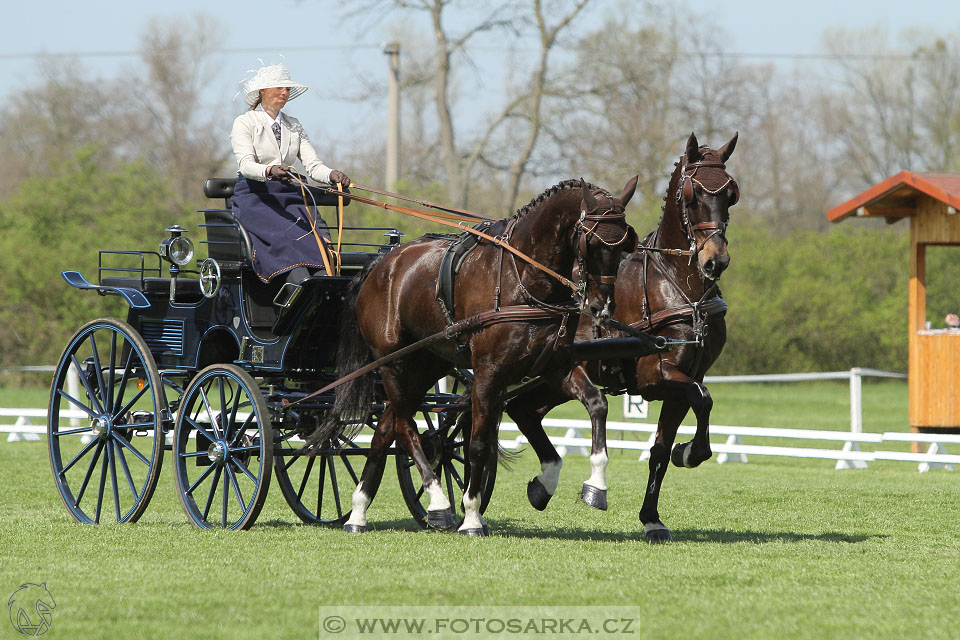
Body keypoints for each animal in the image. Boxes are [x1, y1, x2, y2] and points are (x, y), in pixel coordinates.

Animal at [314, 176, 636, 536]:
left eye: (624, 245)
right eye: (590, 242)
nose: (601, 307)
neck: (522, 278)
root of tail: (380, 265)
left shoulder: (556, 365)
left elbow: (596, 404)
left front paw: (587, 485)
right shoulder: (487, 372)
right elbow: (478, 444)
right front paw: (470, 516)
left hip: (425, 365)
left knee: (387, 428)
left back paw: (358, 511)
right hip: (393, 363)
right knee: (405, 426)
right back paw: (439, 504)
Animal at [506, 132, 740, 544]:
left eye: (730, 193)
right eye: (692, 194)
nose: (715, 261)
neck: (679, 288)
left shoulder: (686, 379)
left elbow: (662, 448)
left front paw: (653, 517)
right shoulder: (657, 376)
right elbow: (704, 398)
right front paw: (689, 453)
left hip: (555, 376)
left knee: (520, 409)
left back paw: (541, 487)